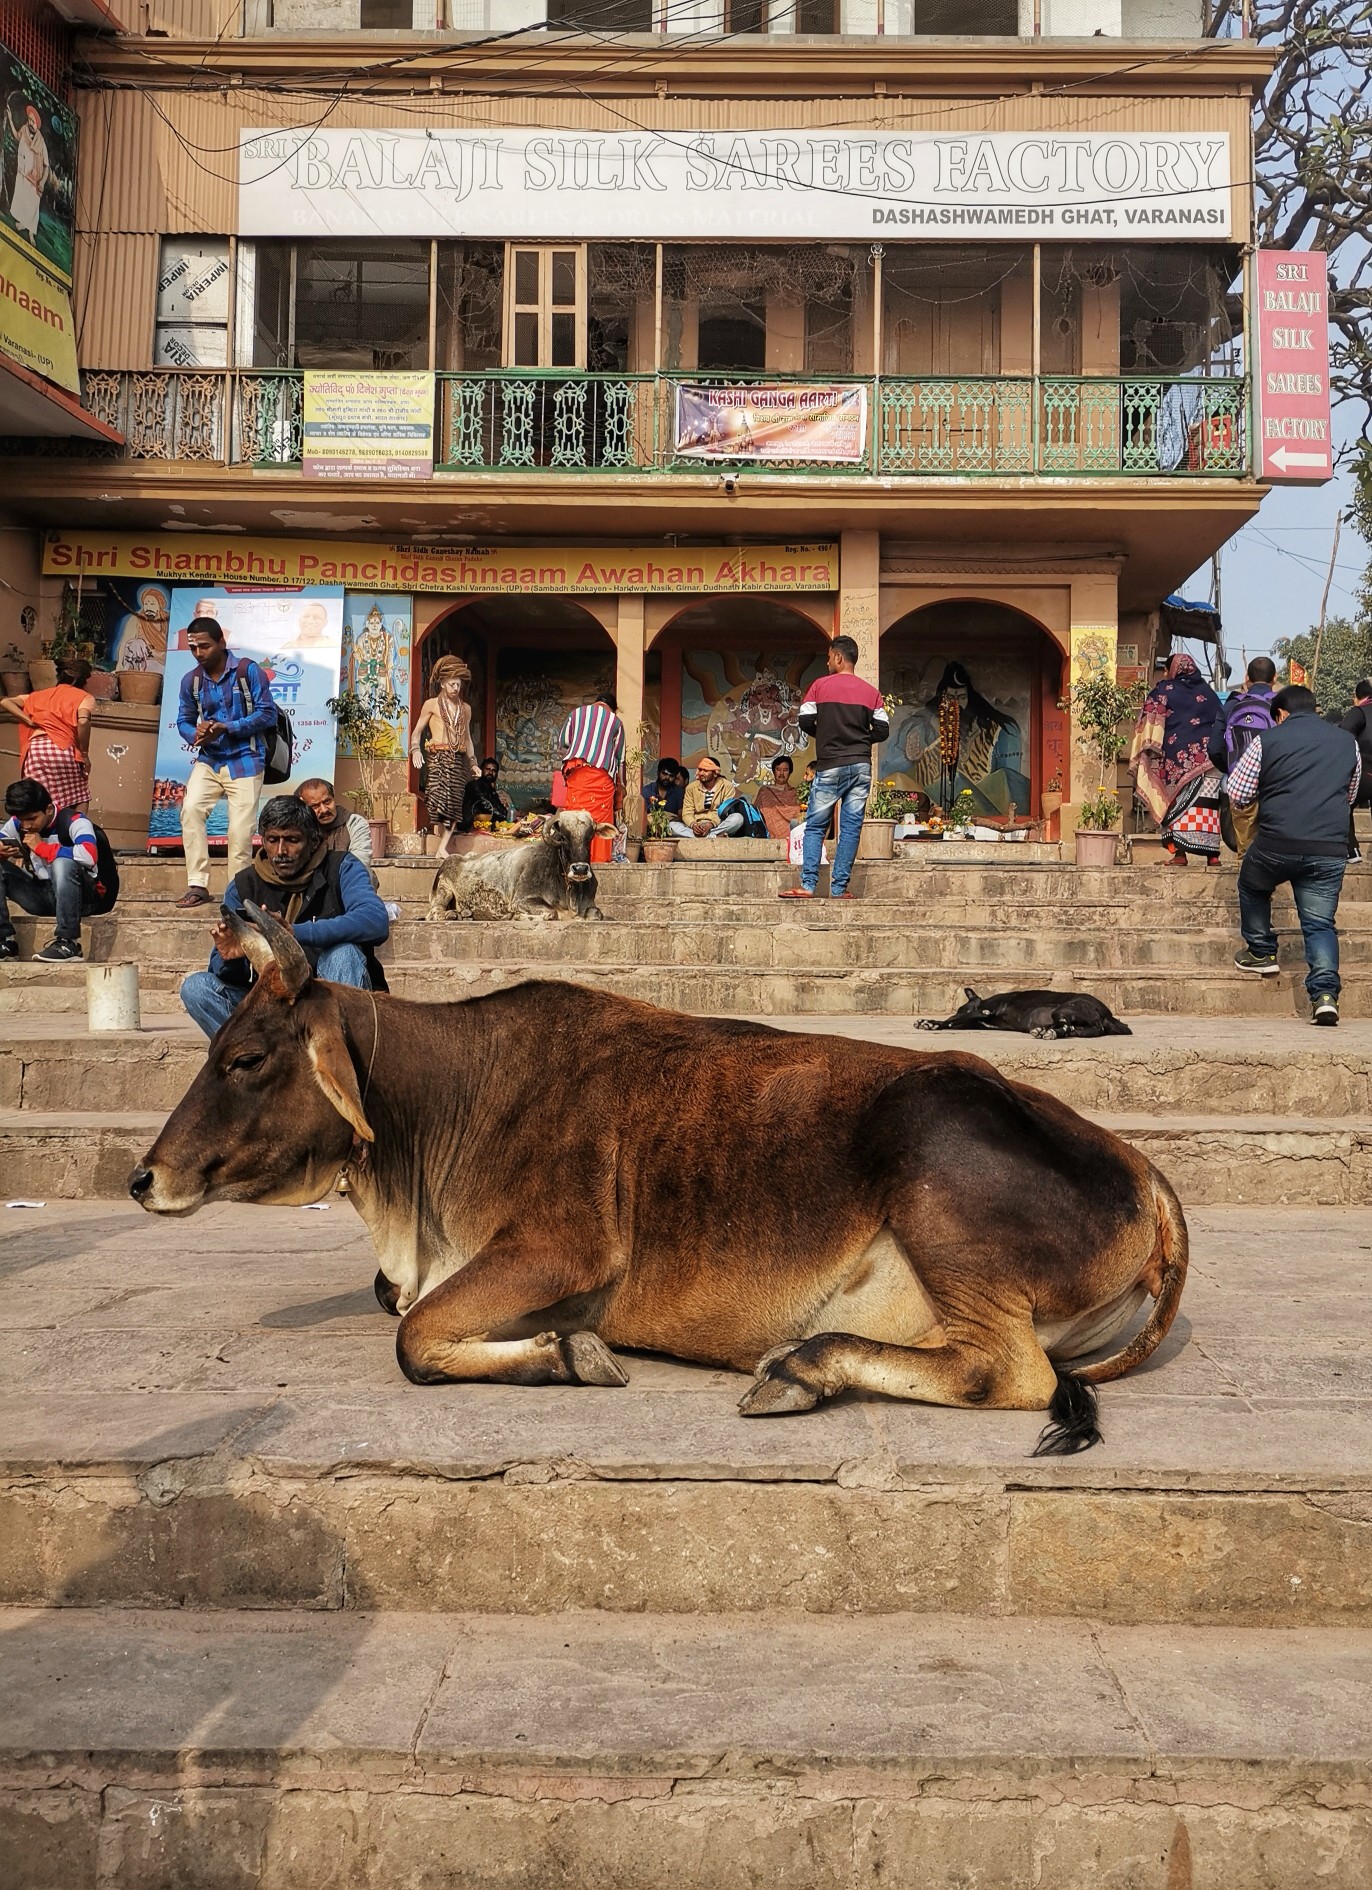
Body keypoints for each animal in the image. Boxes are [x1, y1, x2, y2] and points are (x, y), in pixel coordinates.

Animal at [918, 982, 1133, 1043]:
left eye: (961, 1007)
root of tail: (1108, 1016)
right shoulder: (975, 1020)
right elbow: (956, 1022)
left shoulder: (983, 1012)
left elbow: (951, 1021)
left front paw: (932, 1023)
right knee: (1076, 1029)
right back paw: (1043, 1031)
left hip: (1065, 1008)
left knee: (1067, 1026)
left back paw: (1049, 1032)